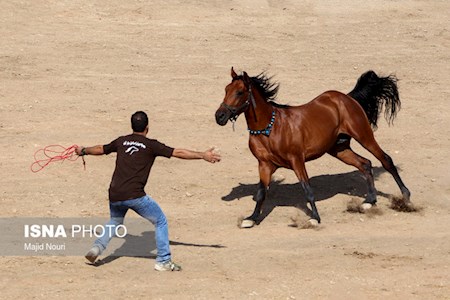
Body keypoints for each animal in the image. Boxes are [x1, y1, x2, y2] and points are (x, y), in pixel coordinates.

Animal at [217, 67, 412, 227]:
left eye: (240, 92)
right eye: (226, 90)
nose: (219, 116)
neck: (269, 129)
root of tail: (347, 97)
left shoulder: (297, 160)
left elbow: (308, 189)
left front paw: (315, 218)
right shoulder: (264, 165)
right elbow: (261, 193)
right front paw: (251, 219)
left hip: (364, 136)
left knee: (385, 160)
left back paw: (405, 197)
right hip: (339, 149)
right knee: (365, 164)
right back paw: (369, 201)